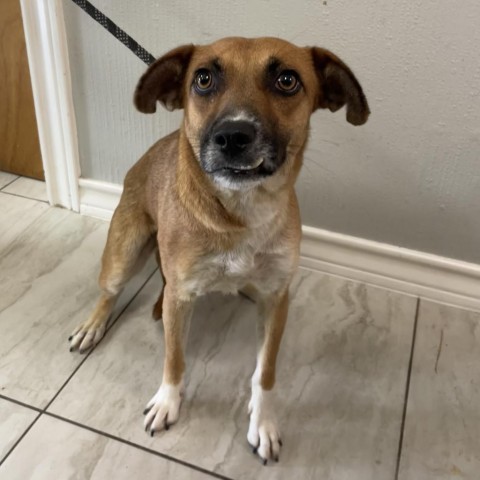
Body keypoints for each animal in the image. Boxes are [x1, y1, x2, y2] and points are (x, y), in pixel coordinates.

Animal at [67, 35, 370, 464]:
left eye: (287, 80)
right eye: (204, 79)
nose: (232, 136)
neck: (238, 214)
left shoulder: (276, 299)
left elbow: (265, 371)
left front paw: (263, 422)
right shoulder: (180, 297)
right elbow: (174, 358)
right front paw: (167, 402)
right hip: (123, 255)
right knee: (110, 292)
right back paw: (93, 326)